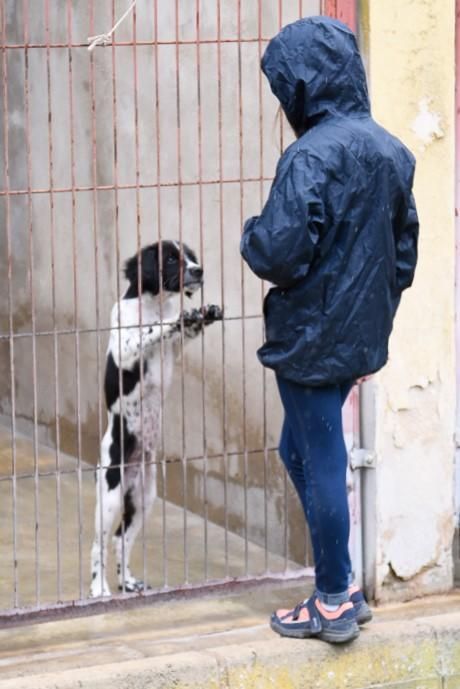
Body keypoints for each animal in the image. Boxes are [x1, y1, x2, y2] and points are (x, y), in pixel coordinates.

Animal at [90, 242, 223, 596]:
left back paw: (127, 582)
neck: (156, 304)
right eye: (172, 259)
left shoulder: (176, 348)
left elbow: (184, 331)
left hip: (143, 497)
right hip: (109, 494)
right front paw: (174, 319)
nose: (199, 271)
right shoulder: (125, 346)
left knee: (121, 540)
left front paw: (203, 313)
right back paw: (99, 589)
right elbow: (148, 332)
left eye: (190, 257)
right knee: (99, 545)